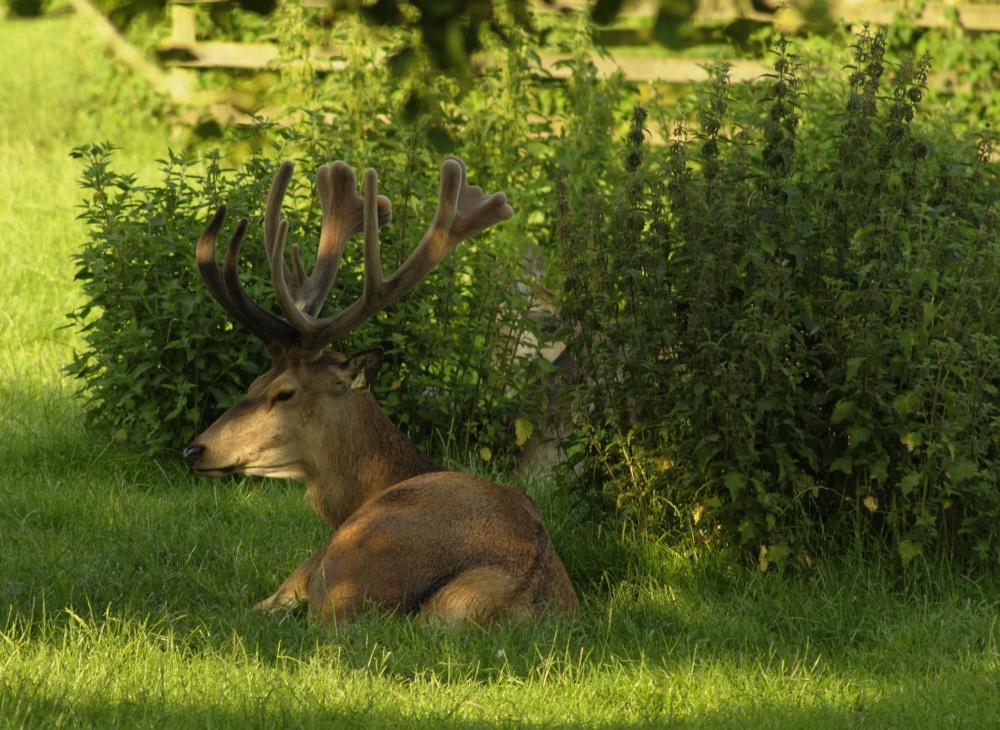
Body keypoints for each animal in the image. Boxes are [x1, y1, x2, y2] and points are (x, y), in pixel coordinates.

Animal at [182, 156, 578, 626]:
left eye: (284, 392)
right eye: (253, 382)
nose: (194, 449)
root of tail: (501, 592)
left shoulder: (306, 570)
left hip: (345, 565)